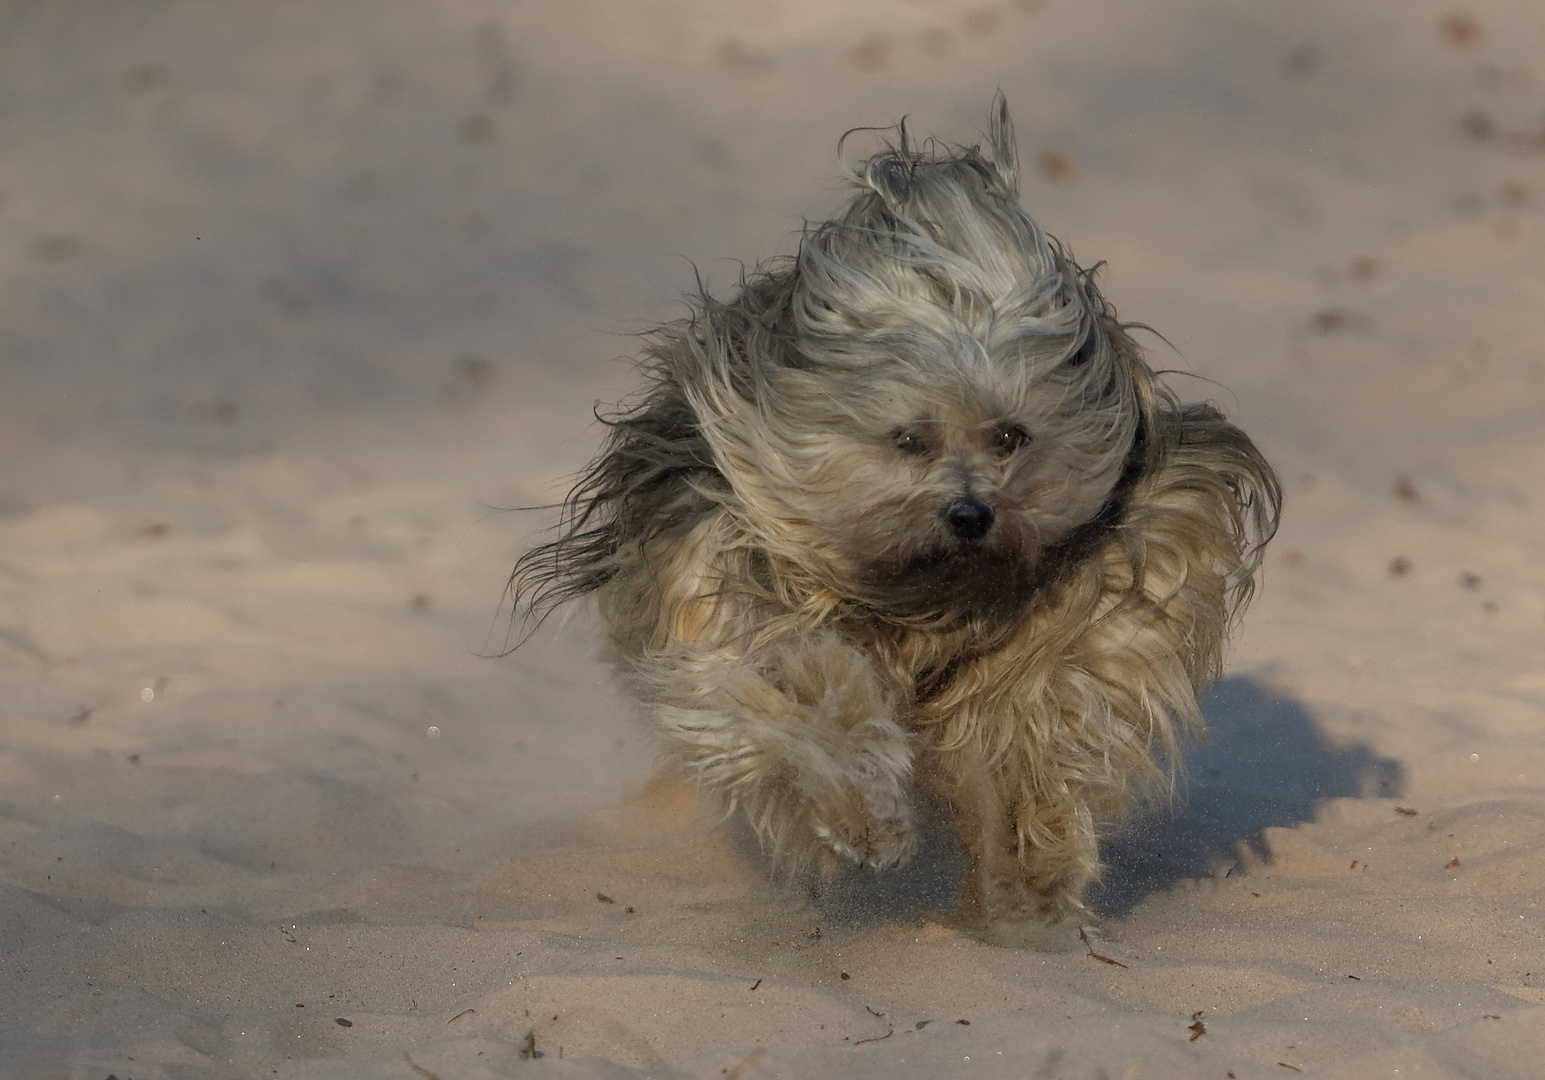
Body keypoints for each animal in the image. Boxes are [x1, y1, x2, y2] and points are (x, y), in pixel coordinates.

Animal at [509, 99, 1279, 939]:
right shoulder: (735, 589)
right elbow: (805, 696)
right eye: (908, 439)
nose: (970, 515)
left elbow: (1039, 736)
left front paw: (1029, 888)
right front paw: (861, 818)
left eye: (1009, 437)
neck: (921, 601)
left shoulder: (1087, 618)